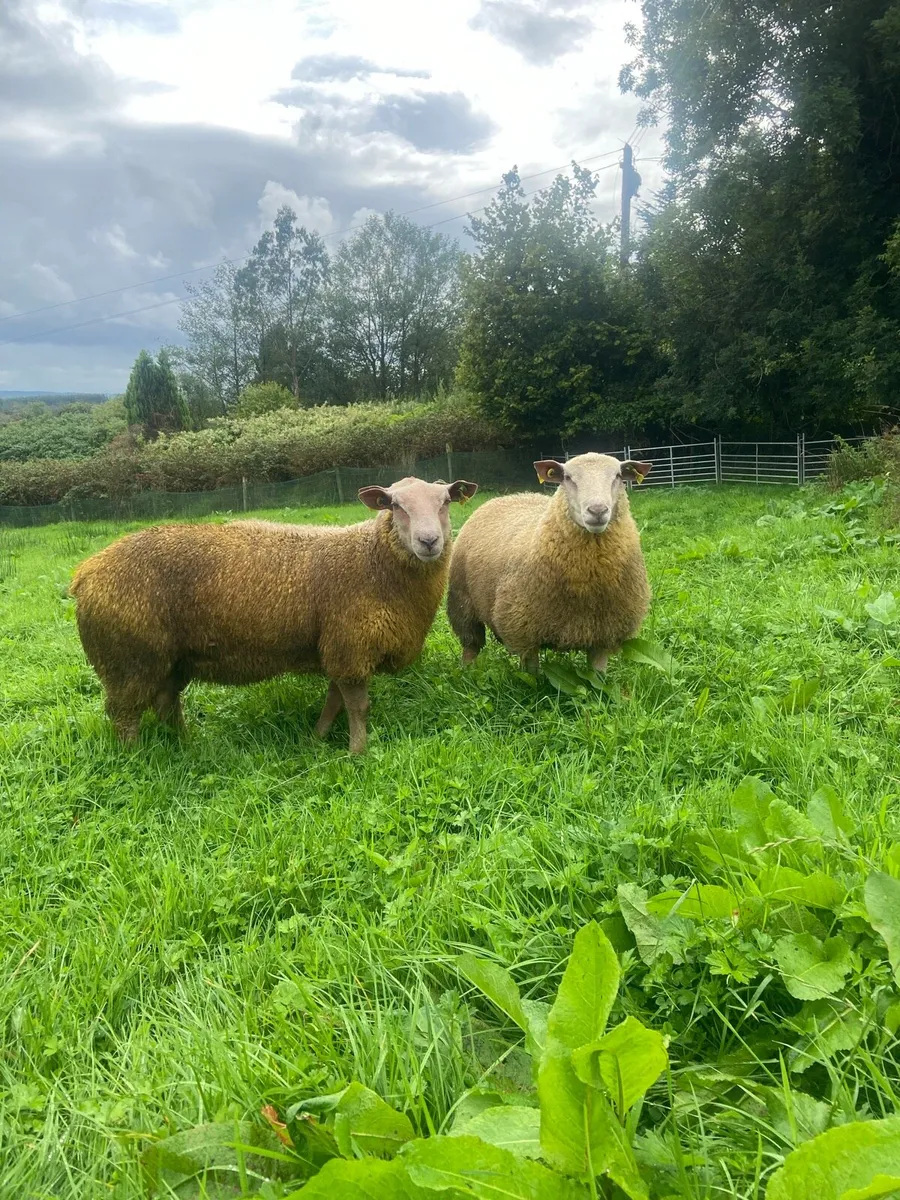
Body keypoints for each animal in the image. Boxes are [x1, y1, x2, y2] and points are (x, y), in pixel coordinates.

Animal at [69, 475, 478, 753]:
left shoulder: (337, 647)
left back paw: (186, 746)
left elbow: (334, 701)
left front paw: (317, 738)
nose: (429, 541)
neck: (372, 561)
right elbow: (358, 707)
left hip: (169, 660)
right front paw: (357, 752)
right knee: (124, 714)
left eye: (445, 501)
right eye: (394, 505)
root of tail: (87, 571)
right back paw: (135, 758)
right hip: (127, 659)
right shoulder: (349, 646)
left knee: (167, 704)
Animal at [447, 453, 652, 676]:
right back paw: (468, 671)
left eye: (618, 476)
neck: (585, 587)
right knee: (471, 644)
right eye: (568, 478)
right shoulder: (523, 628)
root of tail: (509, 496)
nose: (597, 511)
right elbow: (533, 674)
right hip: (463, 603)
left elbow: (597, 676)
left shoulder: (604, 633)